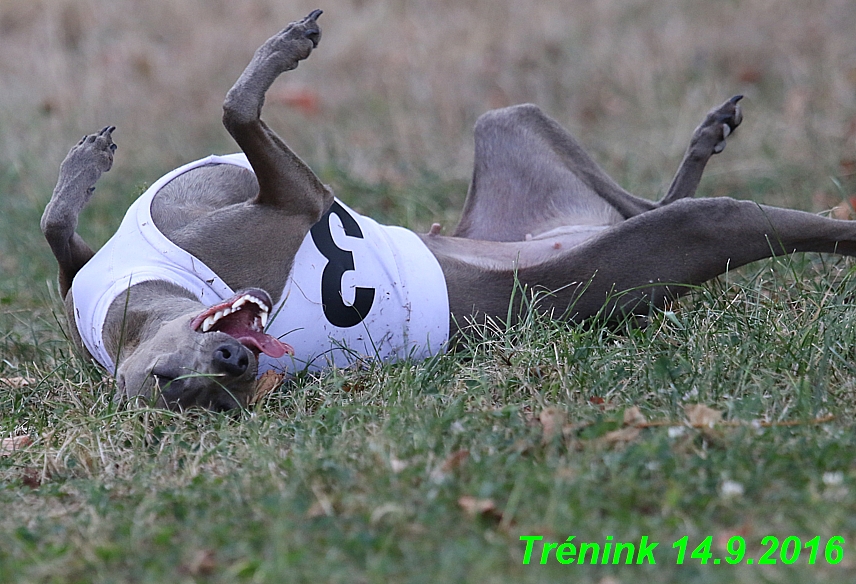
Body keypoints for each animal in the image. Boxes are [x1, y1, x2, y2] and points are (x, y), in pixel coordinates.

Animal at [41, 10, 856, 410]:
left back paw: (708, 133)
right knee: (717, 216)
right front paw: (288, 46)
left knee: (633, 193)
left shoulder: (94, 269)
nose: (236, 359)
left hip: (509, 126)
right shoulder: (302, 200)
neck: (136, 298)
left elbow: (57, 231)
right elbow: (237, 108)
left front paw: (84, 165)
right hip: (680, 237)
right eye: (187, 395)